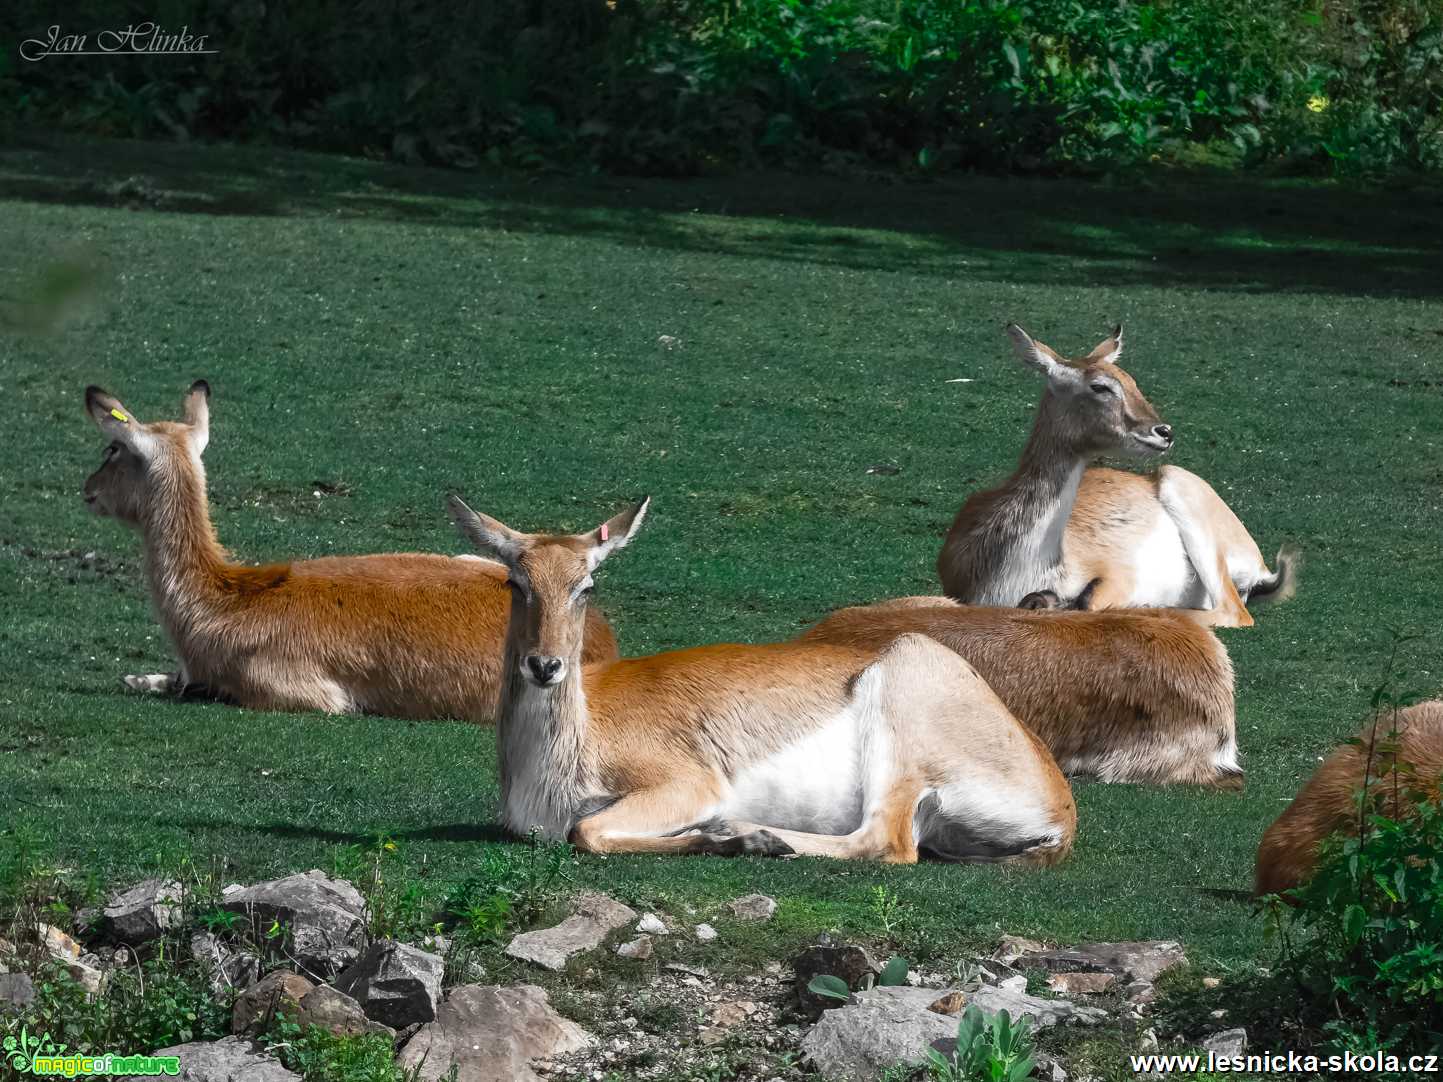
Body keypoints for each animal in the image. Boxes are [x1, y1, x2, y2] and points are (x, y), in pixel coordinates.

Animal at [81, 383, 617, 721]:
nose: (87, 489)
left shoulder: (311, 696)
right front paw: (140, 678)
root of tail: (602, 639)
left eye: (112, 449)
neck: (226, 603)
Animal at [447, 499, 1073, 865]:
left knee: (887, 842)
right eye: (515, 582)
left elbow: (587, 831)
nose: (544, 665)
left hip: (901, 703)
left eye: (587, 586)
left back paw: (754, 832)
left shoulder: (688, 785)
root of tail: (1061, 806)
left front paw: (728, 834)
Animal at [935, 321, 1298, 626]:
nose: (1164, 432)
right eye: (1100, 386)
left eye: (1131, 380)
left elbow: (1087, 602)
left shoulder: (1117, 574)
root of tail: (1261, 567)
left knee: (1233, 612)